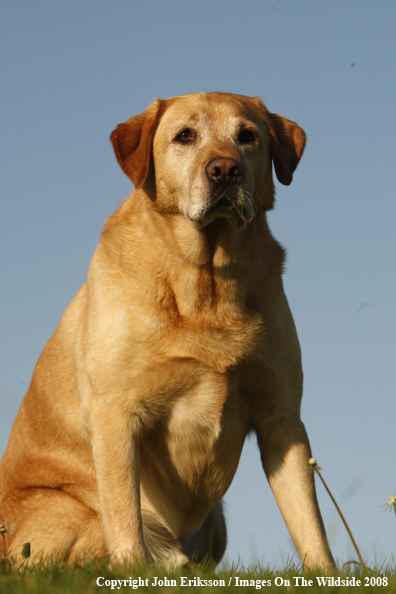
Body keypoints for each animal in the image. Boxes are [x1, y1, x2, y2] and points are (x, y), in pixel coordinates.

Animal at [0, 90, 332, 568]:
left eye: (248, 136)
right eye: (184, 136)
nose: (225, 170)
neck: (208, 284)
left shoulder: (281, 417)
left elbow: (310, 523)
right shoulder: (116, 414)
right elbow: (125, 519)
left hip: (217, 525)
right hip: (71, 512)